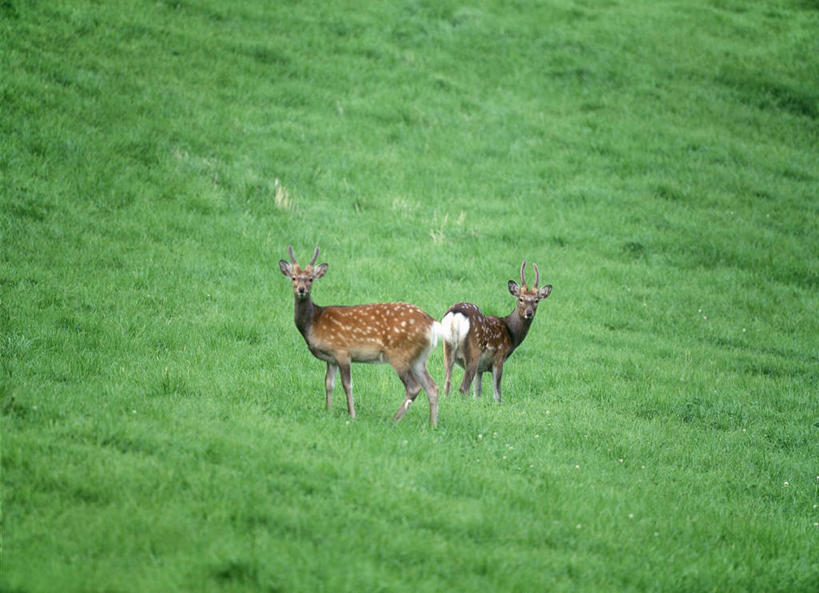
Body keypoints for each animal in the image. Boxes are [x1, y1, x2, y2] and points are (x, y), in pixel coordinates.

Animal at [278, 246, 442, 426]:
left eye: (310, 279)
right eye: (293, 278)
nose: (301, 290)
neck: (314, 323)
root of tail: (432, 323)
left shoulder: (342, 351)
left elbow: (347, 385)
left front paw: (352, 415)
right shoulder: (331, 359)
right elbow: (329, 383)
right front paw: (328, 410)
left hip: (399, 353)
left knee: (413, 387)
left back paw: (393, 420)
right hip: (419, 358)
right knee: (432, 387)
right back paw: (432, 425)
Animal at [442, 262, 552, 404]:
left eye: (537, 300)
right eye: (521, 299)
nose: (529, 313)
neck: (511, 334)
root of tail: (455, 315)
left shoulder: (481, 368)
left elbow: (477, 392)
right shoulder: (499, 357)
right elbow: (497, 393)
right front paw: (498, 404)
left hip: (448, 350)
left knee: (447, 384)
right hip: (473, 351)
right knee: (463, 388)